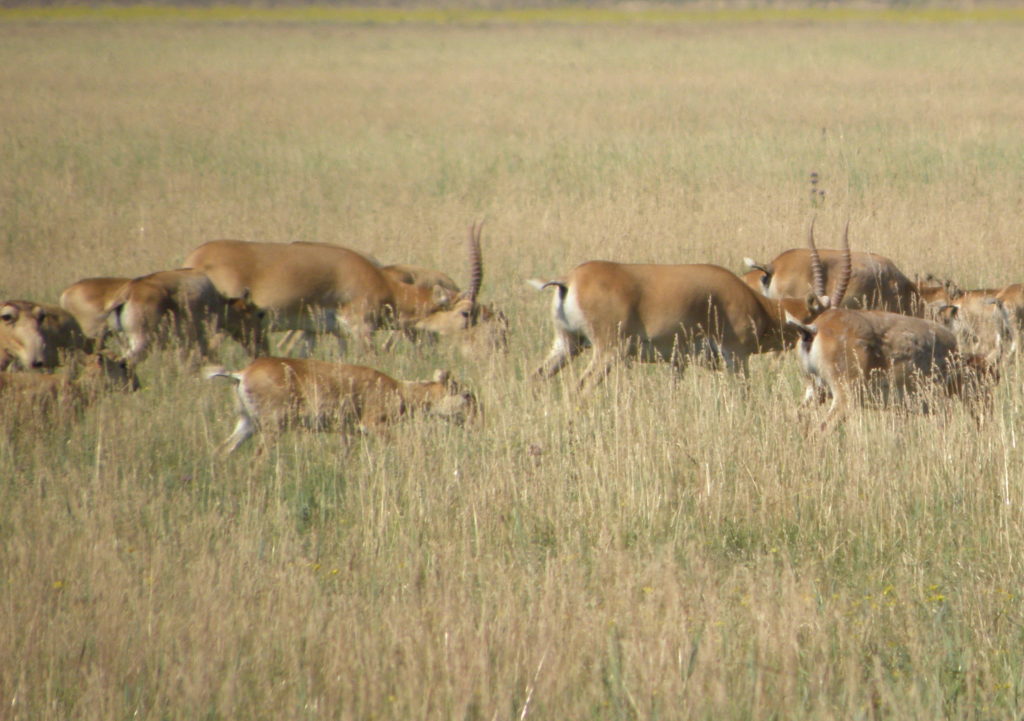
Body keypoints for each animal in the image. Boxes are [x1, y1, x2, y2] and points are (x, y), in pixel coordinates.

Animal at [208, 358, 483, 452]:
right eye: (466, 394)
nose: (475, 423)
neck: (398, 388)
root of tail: (241, 374)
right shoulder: (374, 426)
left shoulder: (348, 434)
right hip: (272, 428)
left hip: (248, 424)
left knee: (222, 450)